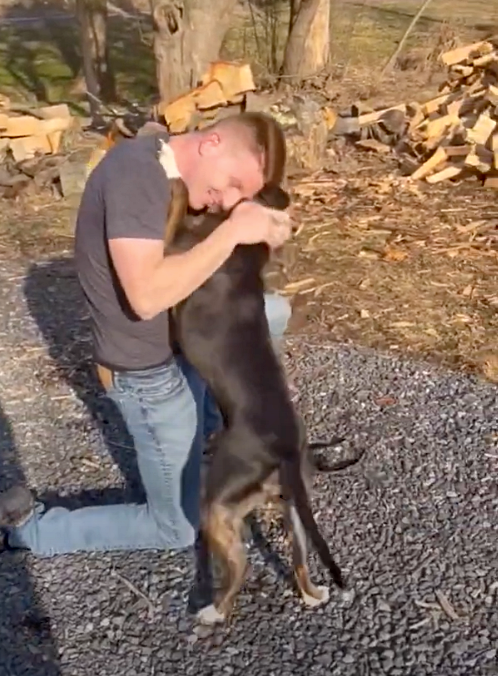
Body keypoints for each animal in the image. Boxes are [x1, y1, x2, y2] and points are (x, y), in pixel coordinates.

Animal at [166, 183, 363, 625]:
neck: (245, 247)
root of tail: (287, 448)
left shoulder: (178, 253)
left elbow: (177, 215)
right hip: (291, 508)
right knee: (300, 561)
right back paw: (312, 595)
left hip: (217, 506)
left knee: (238, 571)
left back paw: (214, 611)